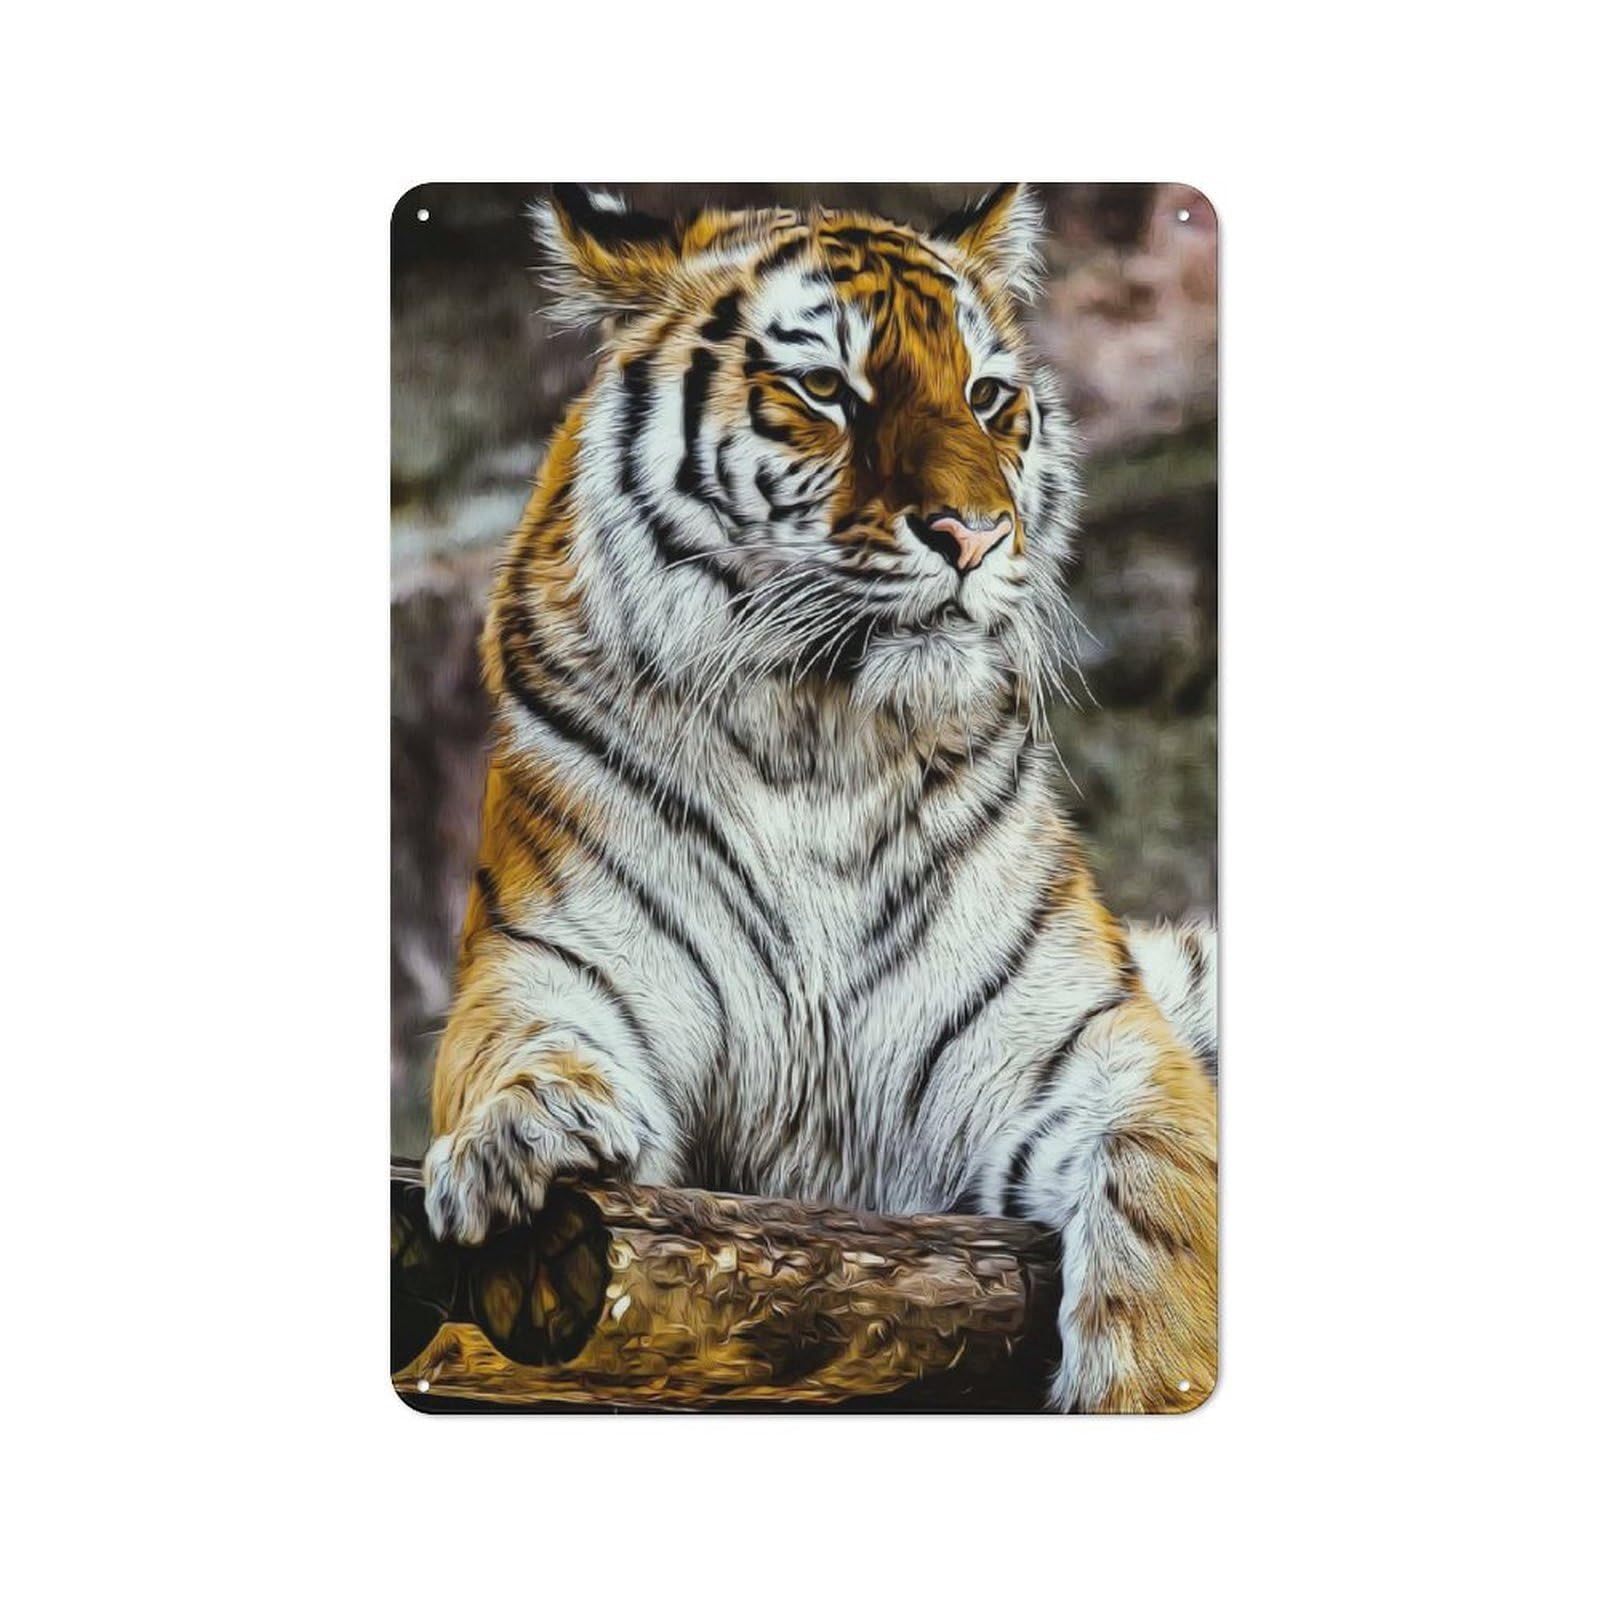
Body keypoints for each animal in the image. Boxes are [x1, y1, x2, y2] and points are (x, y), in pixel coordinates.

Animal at [423, 184, 1218, 1413]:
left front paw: (1152, 1385)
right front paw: (521, 1134)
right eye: (826, 391)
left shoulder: (1096, 1043)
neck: (819, 742)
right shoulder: (549, 958)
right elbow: (515, 1042)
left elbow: (1170, 1213)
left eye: (988, 398)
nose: (974, 534)